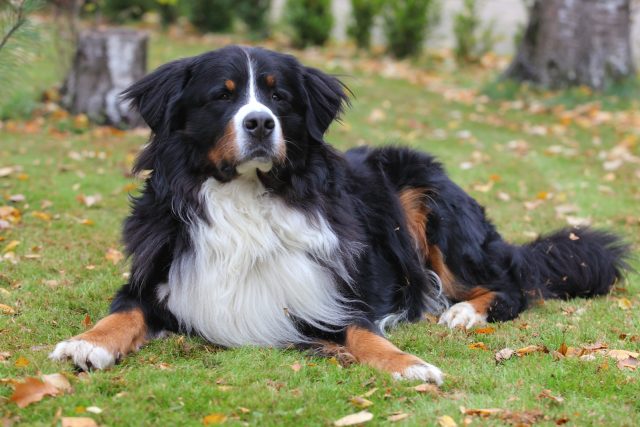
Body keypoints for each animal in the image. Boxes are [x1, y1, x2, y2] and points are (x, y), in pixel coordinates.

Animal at [50, 45, 632, 386]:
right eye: (222, 96)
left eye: (279, 96)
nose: (260, 123)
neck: (245, 198)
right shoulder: (160, 276)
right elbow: (123, 313)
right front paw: (87, 343)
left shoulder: (331, 295)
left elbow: (363, 333)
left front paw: (409, 364)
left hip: (423, 196)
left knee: (510, 284)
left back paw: (464, 313)